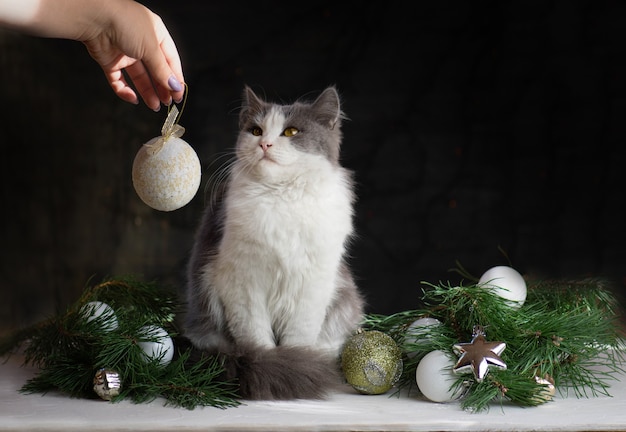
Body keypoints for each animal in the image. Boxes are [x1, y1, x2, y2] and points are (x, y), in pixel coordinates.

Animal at [183, 86, 364, 400]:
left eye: (291, 132)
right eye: (256, 131)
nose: (264, 144)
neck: (282, 196)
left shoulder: (313, 285)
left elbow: (298, 337)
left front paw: (297, 365)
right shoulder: (242, 283)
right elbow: (257, 337)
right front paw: (274, 367)